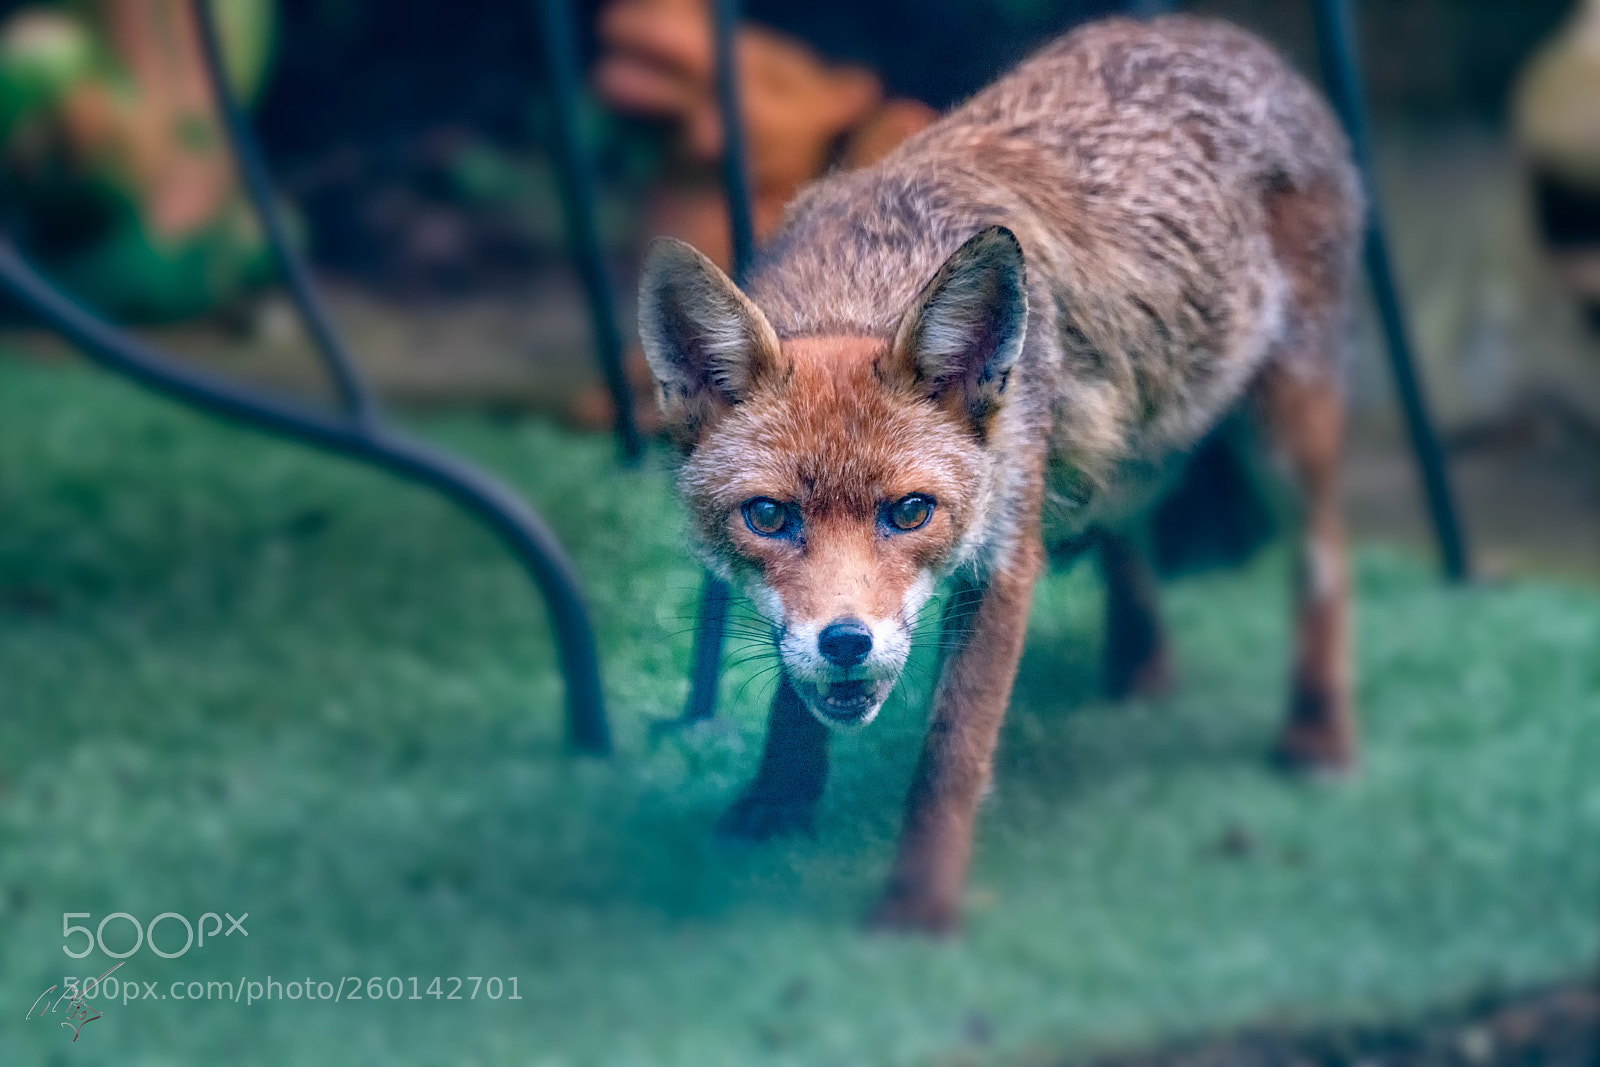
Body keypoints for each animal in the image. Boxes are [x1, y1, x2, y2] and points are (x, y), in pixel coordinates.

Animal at [638, 15, 1364, 933]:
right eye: (767, 517)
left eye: (911, 512)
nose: (848, 640)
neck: (868, 271)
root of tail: (1220, 32)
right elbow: (792, 698)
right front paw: (780, 801)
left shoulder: (1006, 556)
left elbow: (950, 753)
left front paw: (918, 908)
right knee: (1125, 519)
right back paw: (1140, 667)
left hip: (1281, 435)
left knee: (1324, 563)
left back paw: (1318, 736)